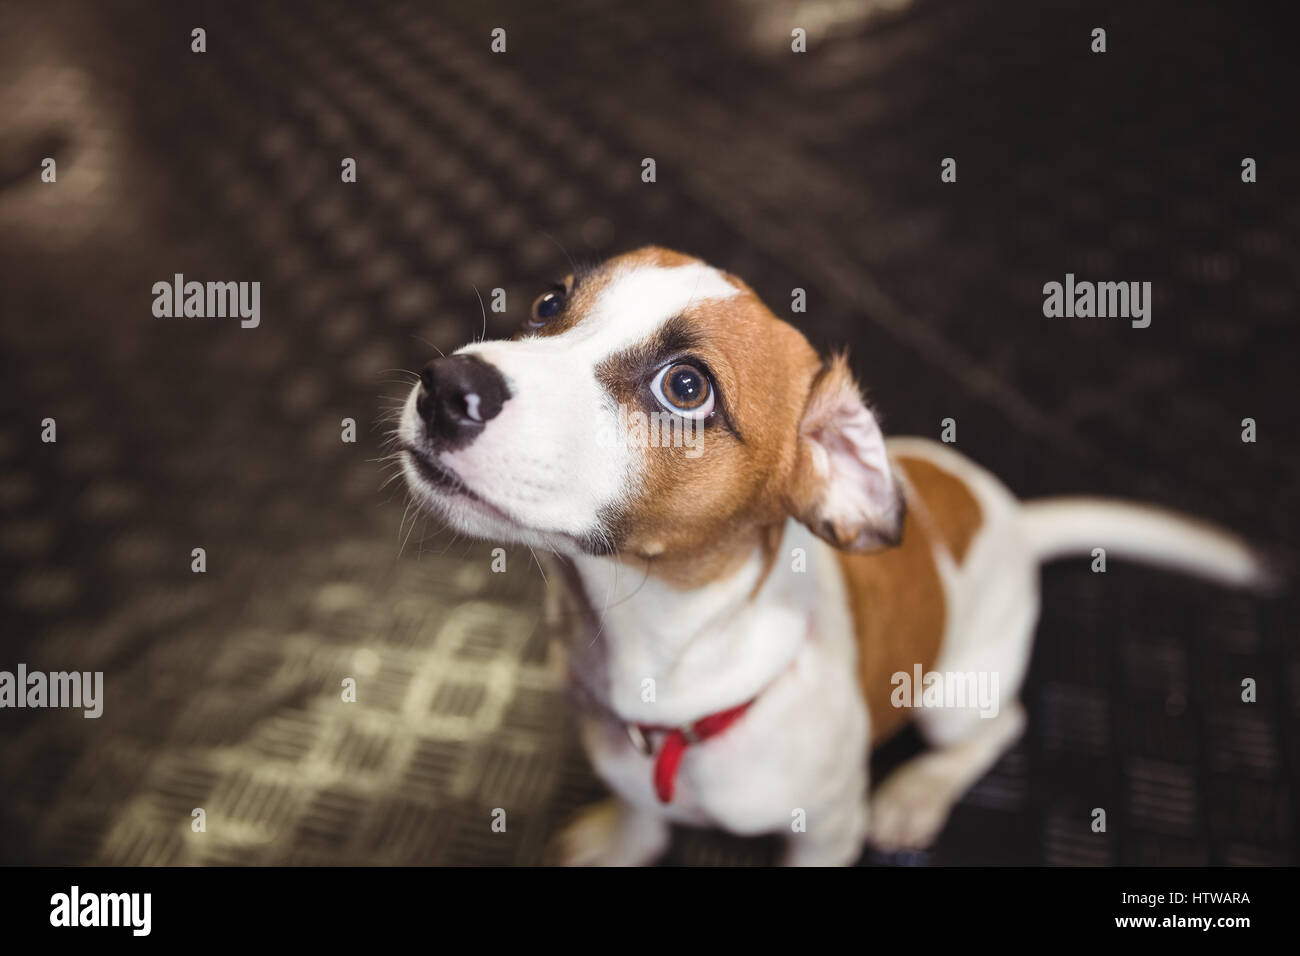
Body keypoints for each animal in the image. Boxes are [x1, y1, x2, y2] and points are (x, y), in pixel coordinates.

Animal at [397, 247, 1268, 868]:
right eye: (550, 302)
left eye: (686, 387)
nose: (444, 386)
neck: (661, 672)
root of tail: (1011, 516)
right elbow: (644, 819)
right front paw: (619, 842)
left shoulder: (823, 832)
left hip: (954, 694)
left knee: (999, 725)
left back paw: (919, 792)